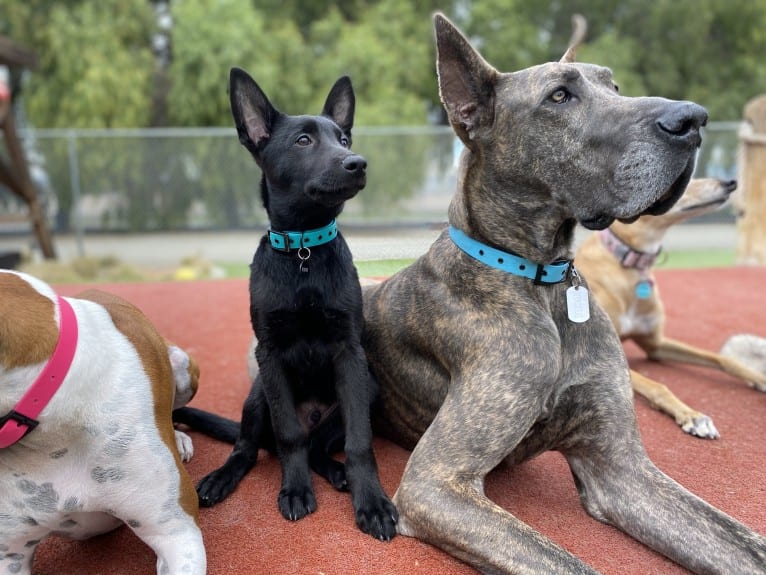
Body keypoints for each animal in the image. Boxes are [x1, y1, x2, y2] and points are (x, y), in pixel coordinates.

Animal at [175, 67, 400, 540]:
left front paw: (371, 501)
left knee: (318, 445)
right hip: (259, 392)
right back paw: (223, 477)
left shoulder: (350, 355)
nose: (357, 163)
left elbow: (360, 442)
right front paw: (295, 490)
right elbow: (289, 437)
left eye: (343, 139)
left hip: (366, 389)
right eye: (303, 140)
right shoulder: (271, 355)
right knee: (254, 446)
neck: (304, 252)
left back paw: (337, 472)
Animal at [576, 178, 766, 438]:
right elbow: (658, 386)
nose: (730, 182)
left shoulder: (656, 344)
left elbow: (724, 359)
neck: (627, 266)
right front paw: (693, 416)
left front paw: (760, 378)